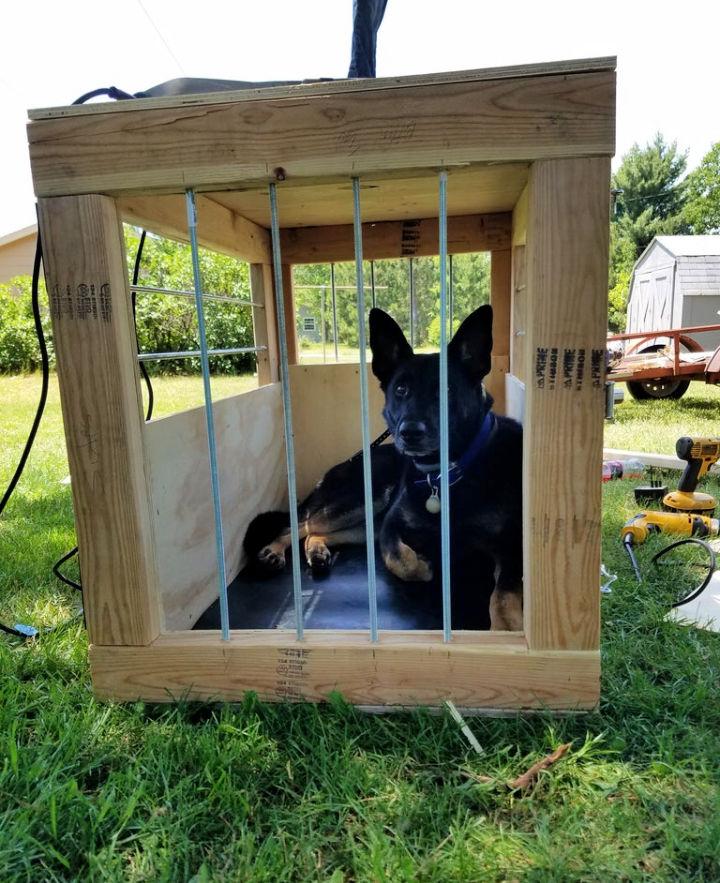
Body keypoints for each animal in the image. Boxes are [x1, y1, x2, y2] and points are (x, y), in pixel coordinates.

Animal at [243, 308, 524, 632]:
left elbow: (504, 591)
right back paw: (274, 550)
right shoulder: (391, 527)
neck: (446, 475)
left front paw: (507, 626)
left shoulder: (513, 543)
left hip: (365, 521)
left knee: (316, 532)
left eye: (446, 389)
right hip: (360, 501)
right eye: (401, 390)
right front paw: (425, 564)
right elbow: (400, 559)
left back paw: (317, 551)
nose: (409, 432)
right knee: (301, 525)